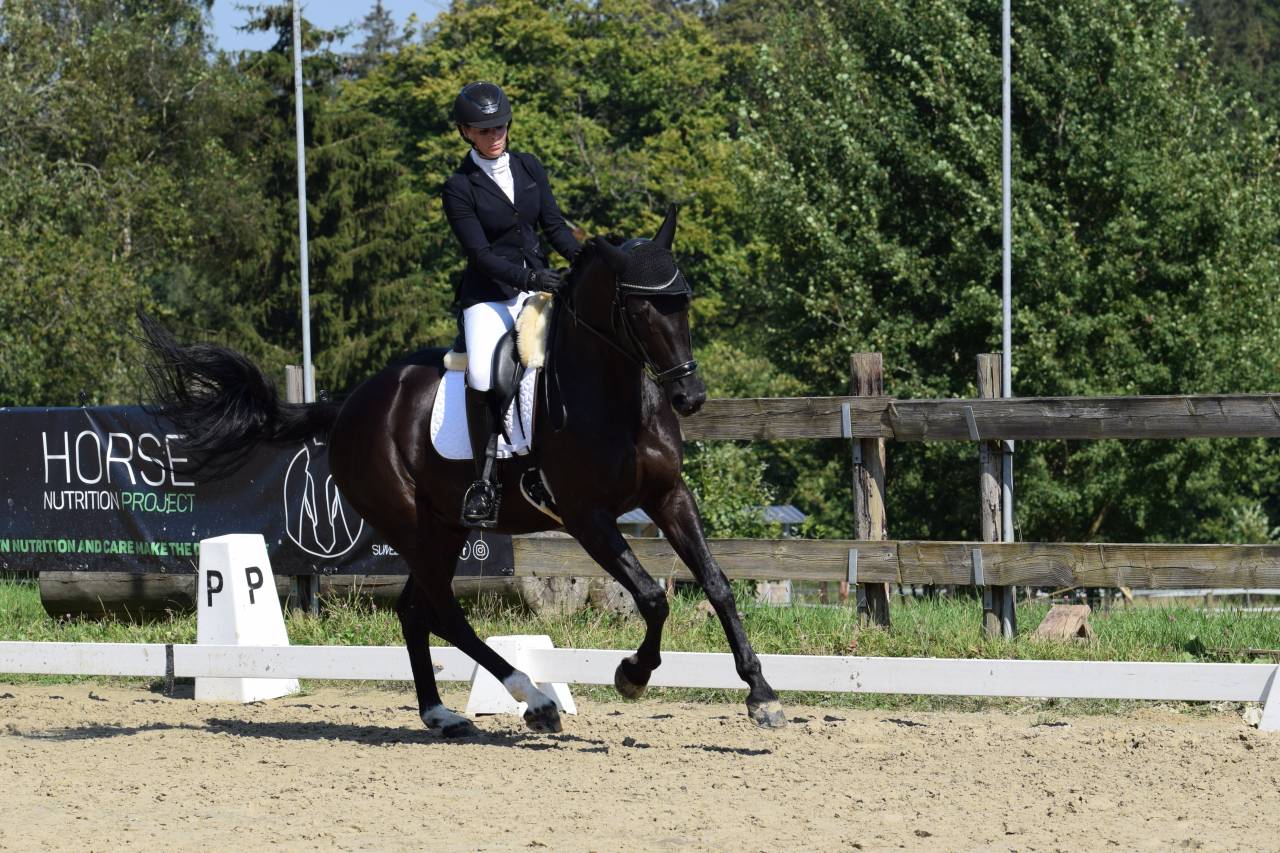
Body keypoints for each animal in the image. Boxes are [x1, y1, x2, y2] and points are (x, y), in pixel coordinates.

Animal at [142, 207, 786, 736]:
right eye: (639, 306)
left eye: (684, 300)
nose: (690, 397)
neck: (615, 396)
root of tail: (349, 405)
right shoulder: (585, 516)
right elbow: (652, 596)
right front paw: (633, 673)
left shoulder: (668, 495)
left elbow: (717, 584)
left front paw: (762, 695)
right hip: (410, 524)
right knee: (442, 610)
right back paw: (535, 700)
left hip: (444, 527)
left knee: (416, 609)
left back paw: (442, 713)